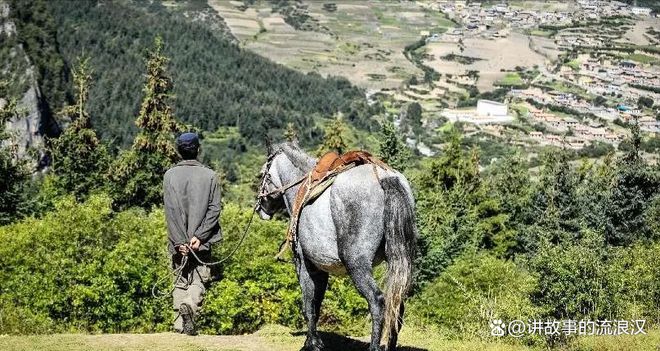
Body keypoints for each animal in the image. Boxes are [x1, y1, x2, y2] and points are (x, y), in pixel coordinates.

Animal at [255, 143, 416, 351]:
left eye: (262, 175)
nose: (260, 209)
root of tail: (384, 177)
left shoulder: (305, 264)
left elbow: (308, 305)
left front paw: (312, 344)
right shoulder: (321, 268)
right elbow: (316, 304)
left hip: (356, 264)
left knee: (377, 301)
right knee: (398, 303)